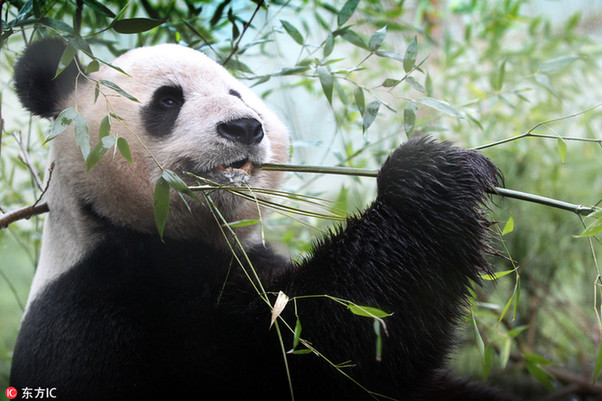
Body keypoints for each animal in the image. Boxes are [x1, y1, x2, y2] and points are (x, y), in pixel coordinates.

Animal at [9, 38, 512, 400]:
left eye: (237, 93)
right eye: (168, 100)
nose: (245, 127)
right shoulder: (117, 303)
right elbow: (314, 350)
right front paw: (426, 178)